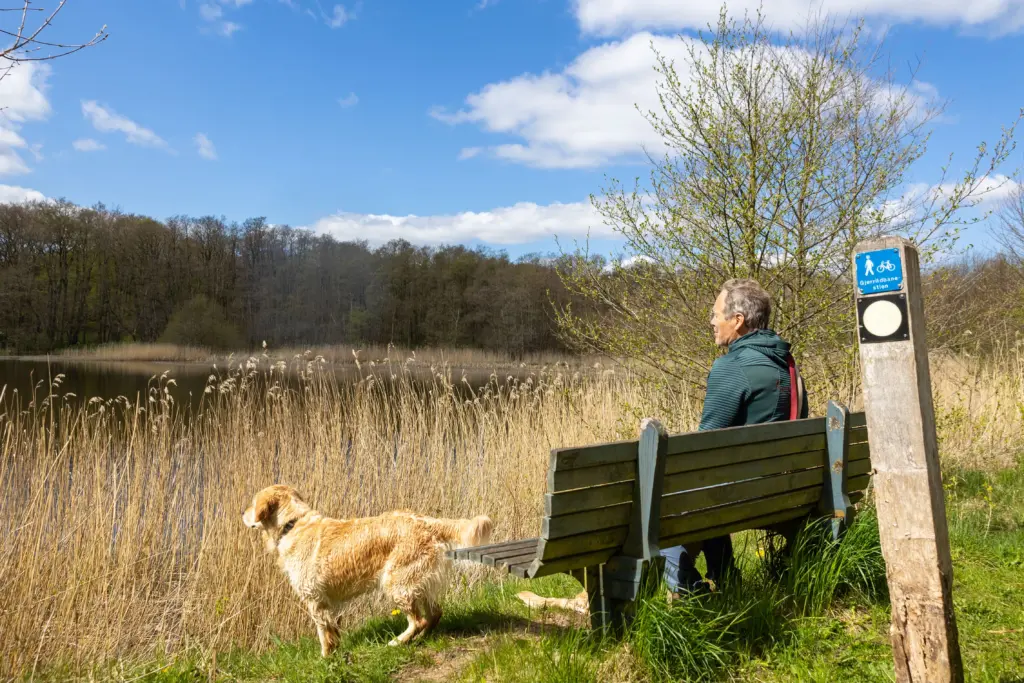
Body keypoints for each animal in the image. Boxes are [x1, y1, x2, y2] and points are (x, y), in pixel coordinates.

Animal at [243, 485, 491, 655]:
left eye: (252, 503)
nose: (242, 513)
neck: (292, 524)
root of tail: (427, 521)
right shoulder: (326, 603)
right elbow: (333, 631)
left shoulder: (314, 599)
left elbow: (323, 635)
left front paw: (325, 658)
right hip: (420, 581)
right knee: (435, 614)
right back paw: (419, 639)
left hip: (396, 583)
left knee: (418, 620)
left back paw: (396, 642)